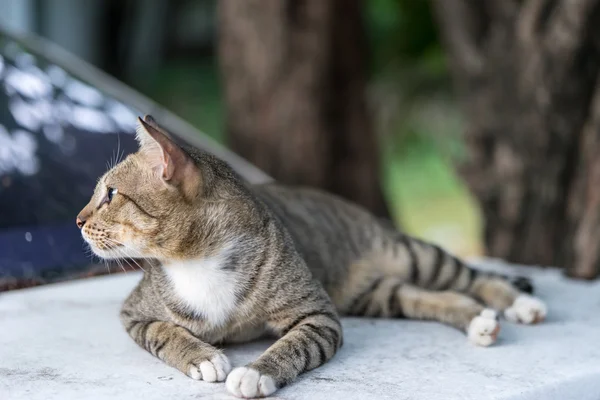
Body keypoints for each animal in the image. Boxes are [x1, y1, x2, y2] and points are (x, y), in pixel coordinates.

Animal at [77, 115, 548, 396]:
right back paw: (479, 321)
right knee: (434, 297)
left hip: (408, 255)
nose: (79, 220)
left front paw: (256, 372)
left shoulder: (318, 315)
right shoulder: (135, 313)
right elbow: (164, 333)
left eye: (110, 194)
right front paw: (204, 357)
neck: (197, 261)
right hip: (372, 295)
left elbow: (294, 345)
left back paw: (521, 304)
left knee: (471, 278)